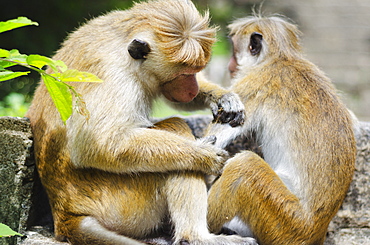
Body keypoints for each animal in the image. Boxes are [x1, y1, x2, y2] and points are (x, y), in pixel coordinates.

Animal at [26, 0, 258, 245]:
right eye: (185, 74)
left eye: (195, 72)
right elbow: (96, 144)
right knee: (175, 129)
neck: (122, 48)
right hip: (122, 203)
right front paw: (203, 155)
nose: (193, 89)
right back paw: (197, 237)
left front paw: (224, 98)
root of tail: (65, 213)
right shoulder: (114, 76)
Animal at [207, 15, 356, 245]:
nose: (230, 65)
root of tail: (316, 232)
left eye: (234, 51)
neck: (279, 57)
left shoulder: (253, 84)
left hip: (286, 223)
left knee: (244, 166)